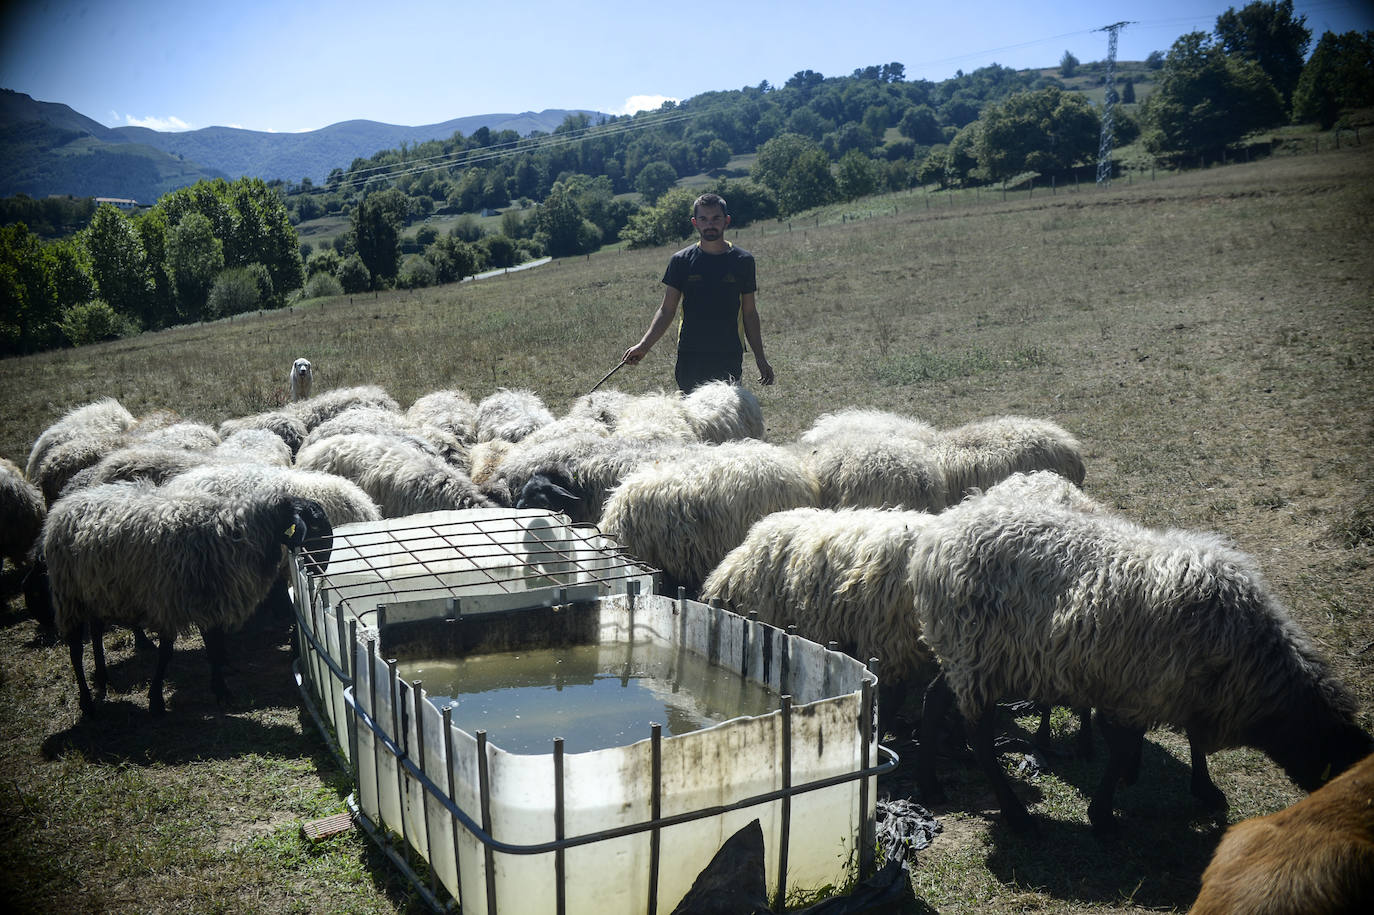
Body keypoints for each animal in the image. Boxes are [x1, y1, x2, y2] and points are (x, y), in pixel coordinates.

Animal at [45, 478, 329, 714]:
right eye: (314, 525)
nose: (321, 569)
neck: (231, 534)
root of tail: (63, 505)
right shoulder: (169, 601)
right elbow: (167, 652)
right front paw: (156, 700)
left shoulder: (209, 601)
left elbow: (214, 647)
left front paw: (221, 689)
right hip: (68, 595)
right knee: (75, 650)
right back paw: (86, 701)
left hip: (96, 593)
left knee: (95, 632)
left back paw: (103, 677)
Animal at [912, 500, 1374, 835]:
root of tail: (934, 541)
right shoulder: (1146, 687)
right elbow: (1128, 747)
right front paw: (1103, 814)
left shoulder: (1179, 687)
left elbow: (1188, 741)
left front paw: (1202, 789)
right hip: (978, 654)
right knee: (978, 736)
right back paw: (1016, 815)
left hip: (963, 652)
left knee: (934, 699)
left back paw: (930, 786)